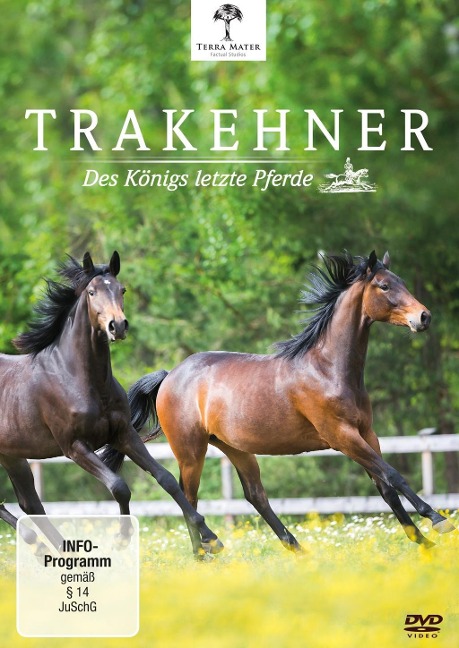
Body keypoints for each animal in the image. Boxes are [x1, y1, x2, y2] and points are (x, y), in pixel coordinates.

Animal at [0, 251, 222, 556]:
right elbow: (119, 486)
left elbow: (165, 478)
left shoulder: (123, 434)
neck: (80, 379)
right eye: (92, 292)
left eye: (122, 290)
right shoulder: (74, 447)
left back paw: (56, 549)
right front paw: (122, 538)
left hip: (13, 456)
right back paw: (44, 546)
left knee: (30, 503)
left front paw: (211, 538)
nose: (118, 326)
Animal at [100, 251, 455, 552]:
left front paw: (423, 542)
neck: (327, 369)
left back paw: (297, 549)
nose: (424, 317)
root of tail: (170, 375)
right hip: (190, 450)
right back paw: (205, 553)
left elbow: (386, 486)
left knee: (255, 495)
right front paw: (438, 521)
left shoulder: (366, 434)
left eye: (403, 282)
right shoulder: (342, 436)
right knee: (188, 496)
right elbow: (393, 475)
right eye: (384, 285)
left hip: (235, 448)